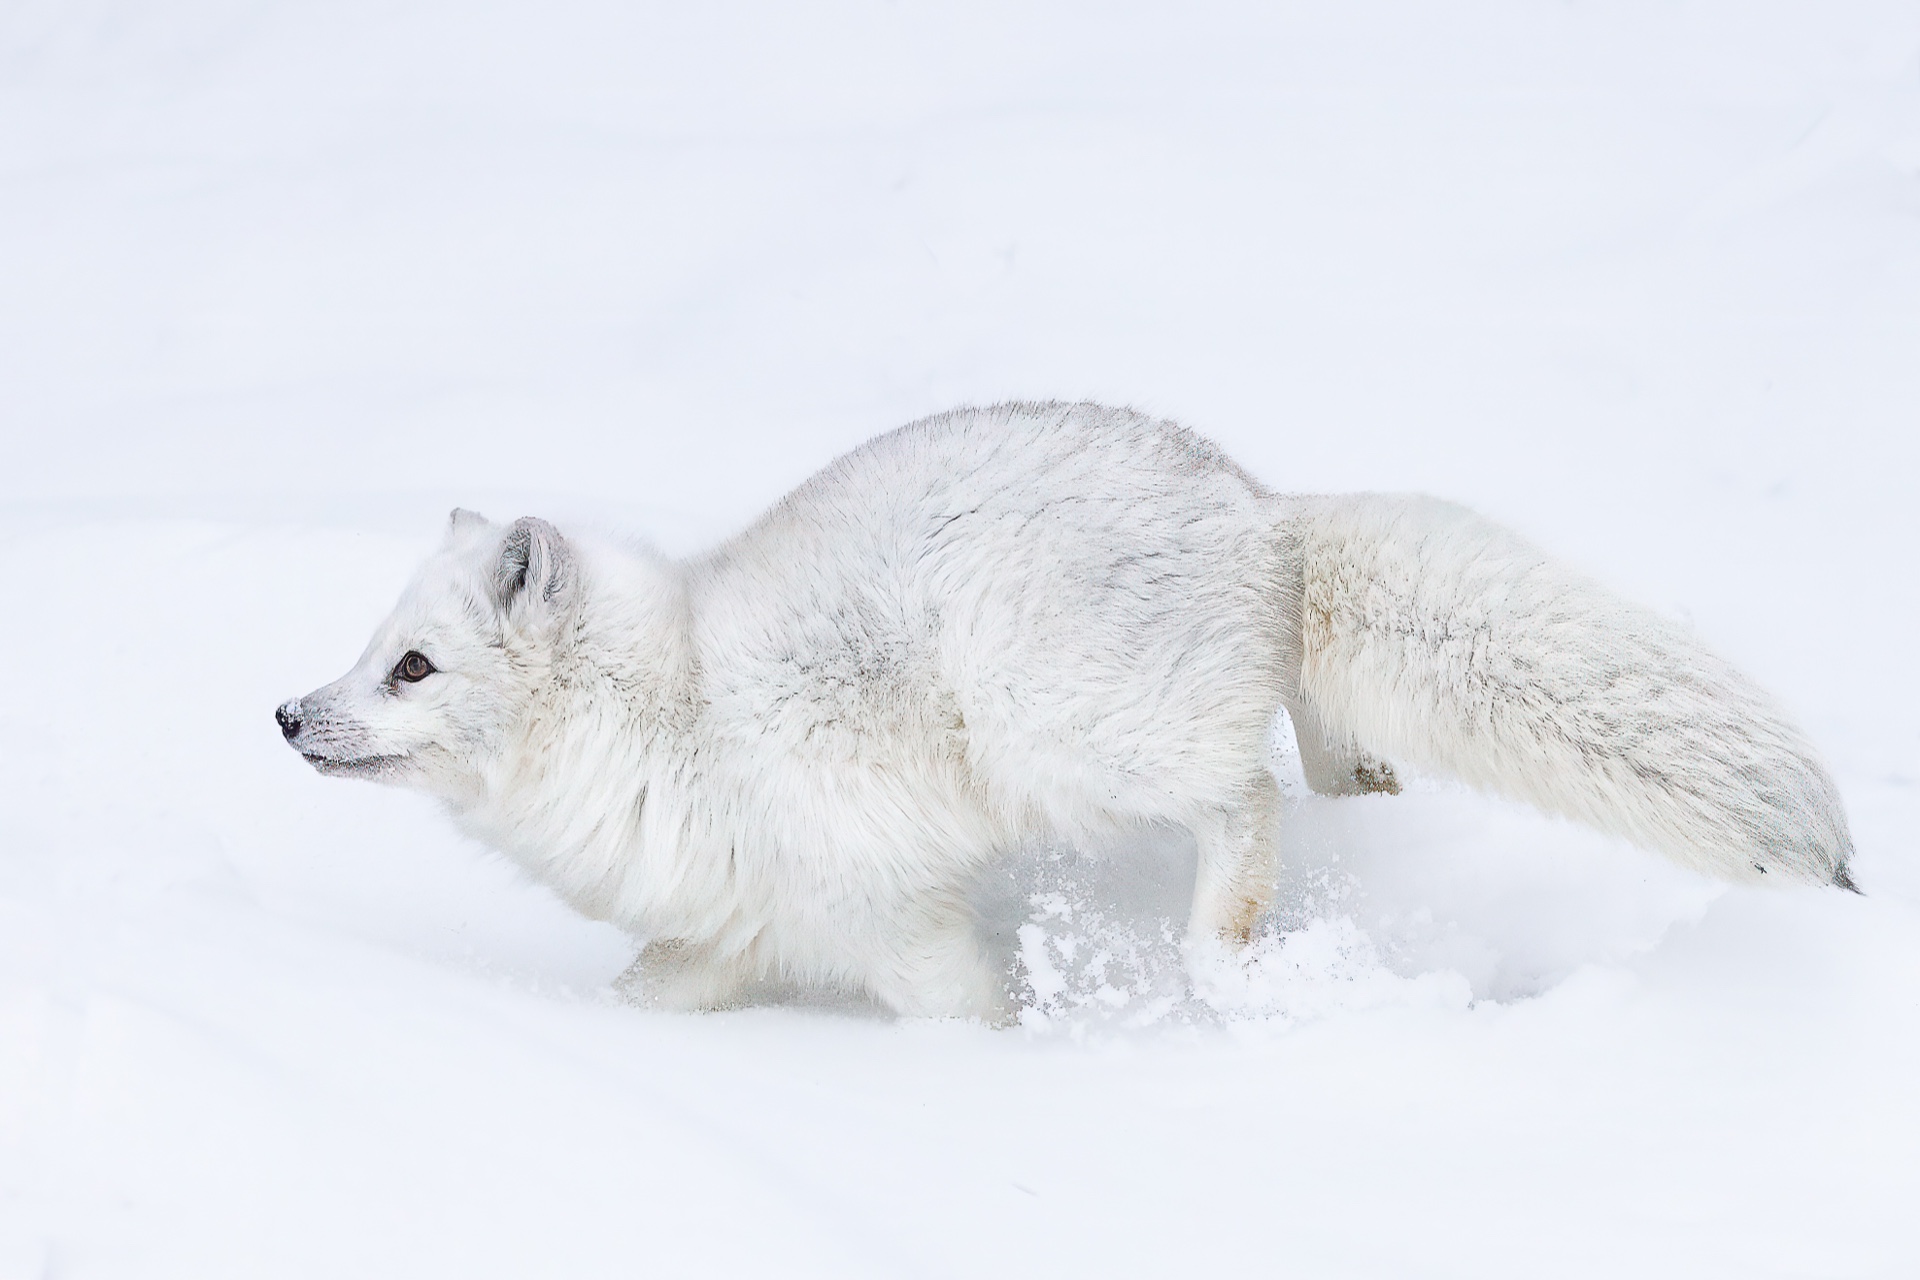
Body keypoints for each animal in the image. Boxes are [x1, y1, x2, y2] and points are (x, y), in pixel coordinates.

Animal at [277, 402, 1856, 1020]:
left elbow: (965, 1011)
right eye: (370, 653)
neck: (671, 714)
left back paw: (1220, 943)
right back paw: (1360, 784)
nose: (288, 716)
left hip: (1055, 732)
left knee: (1243, 798)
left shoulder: (895, 914)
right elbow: (649, 992)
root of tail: (1259, 511)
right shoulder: (742, 927)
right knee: (1303, 733)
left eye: (412, 670)